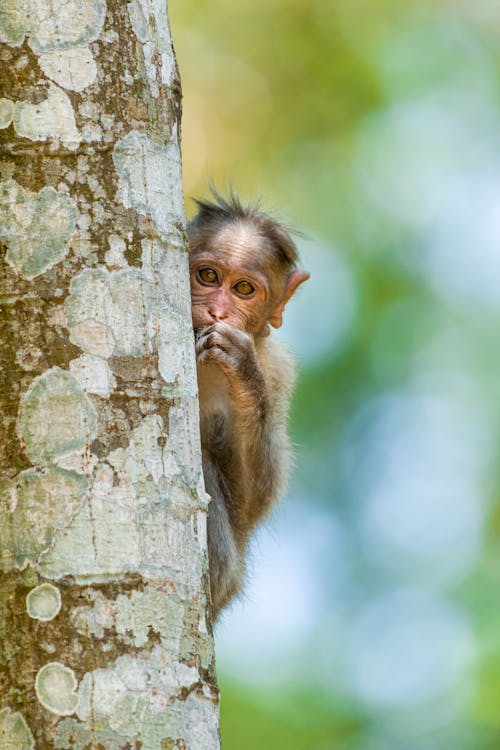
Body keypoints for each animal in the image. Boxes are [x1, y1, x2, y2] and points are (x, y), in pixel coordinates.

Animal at [186, 191, 306, 620]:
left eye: (243, 289)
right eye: (208, 277)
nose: (218, 312)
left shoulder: (277, 371)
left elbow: (251, 505)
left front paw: (240, 367)